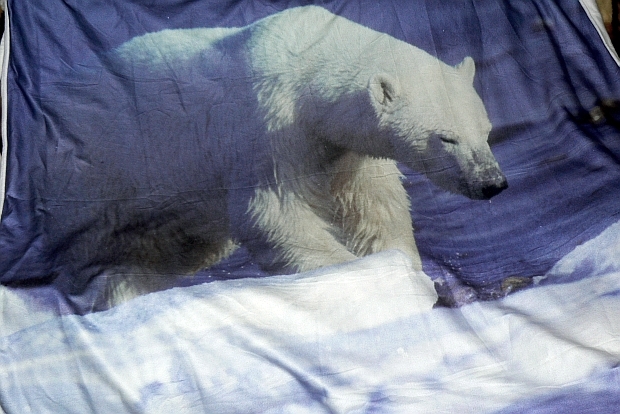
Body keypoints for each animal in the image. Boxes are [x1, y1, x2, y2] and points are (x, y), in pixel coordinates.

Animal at [82, 5, 507, 305]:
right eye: (446, 138)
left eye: (485, 131)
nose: (492, 183)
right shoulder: (270, 131)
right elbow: (277, 214)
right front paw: (360, 279)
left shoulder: (345, 153)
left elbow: (375, 207)